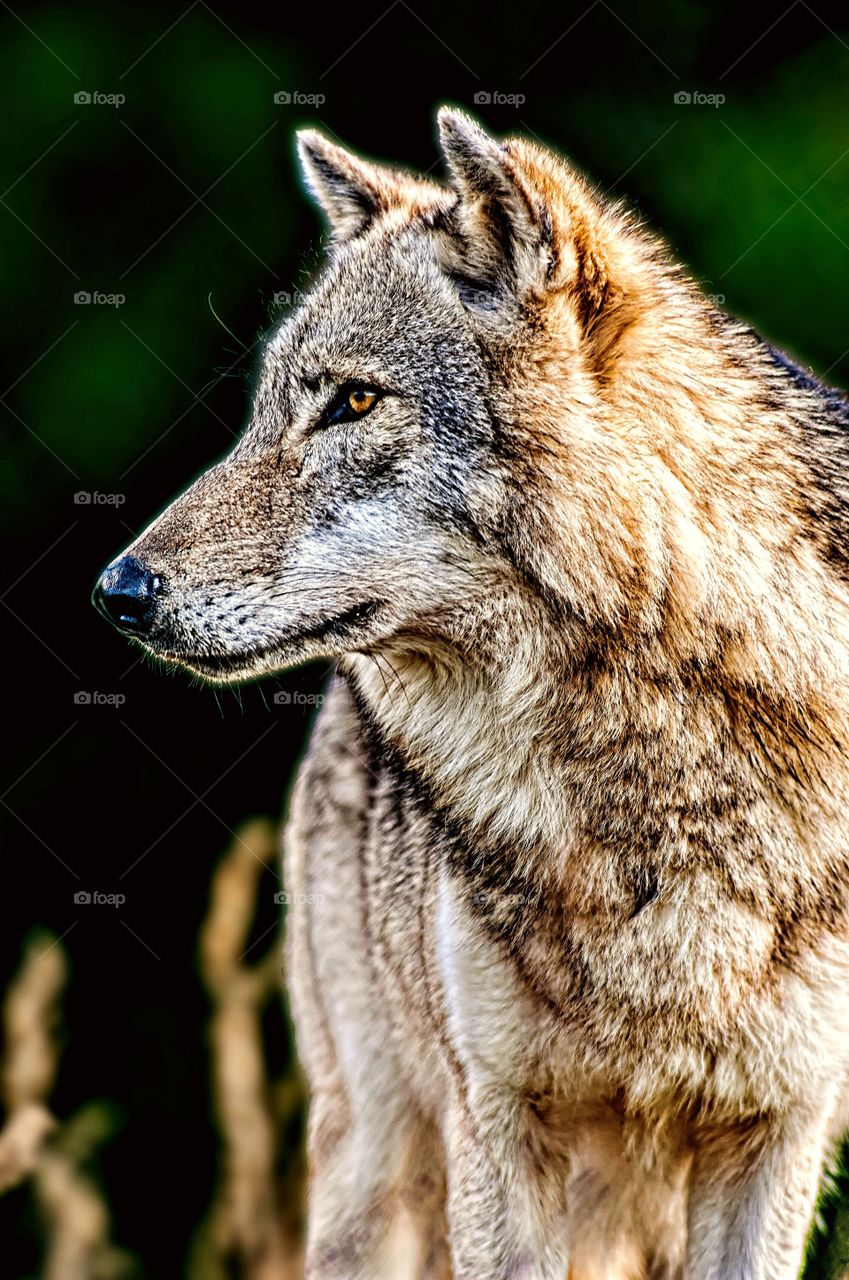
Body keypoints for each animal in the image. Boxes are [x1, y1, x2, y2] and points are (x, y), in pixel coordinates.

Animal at [92, 112, 849, 1280]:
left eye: (354, 400)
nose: (117, 591)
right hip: (376, 1170)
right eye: (266, 412)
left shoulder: (779, 1129)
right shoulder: (496, 1122)